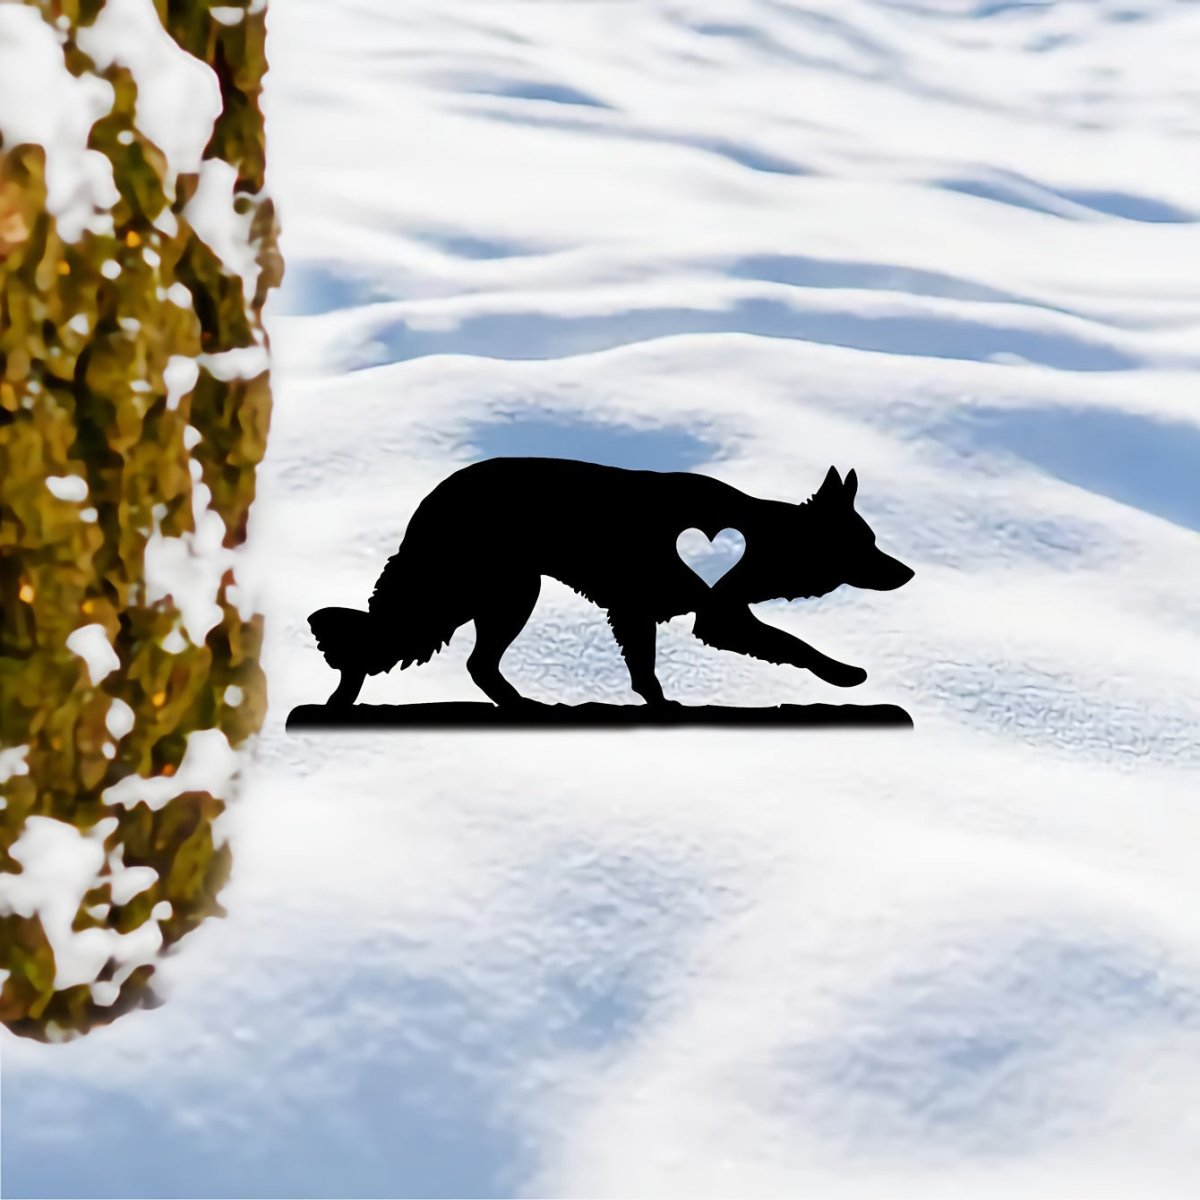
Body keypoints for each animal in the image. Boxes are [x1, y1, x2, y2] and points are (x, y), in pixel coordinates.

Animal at [308, 457, 913, 708]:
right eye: (865, 543)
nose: (908, 572)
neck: (762, 535)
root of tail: (433, 498)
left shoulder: (654, 613)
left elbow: (646, 670)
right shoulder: (710, 616)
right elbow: (793, 643)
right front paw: (844, 674)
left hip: (496, 593)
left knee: (467, 660)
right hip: (503, 591)